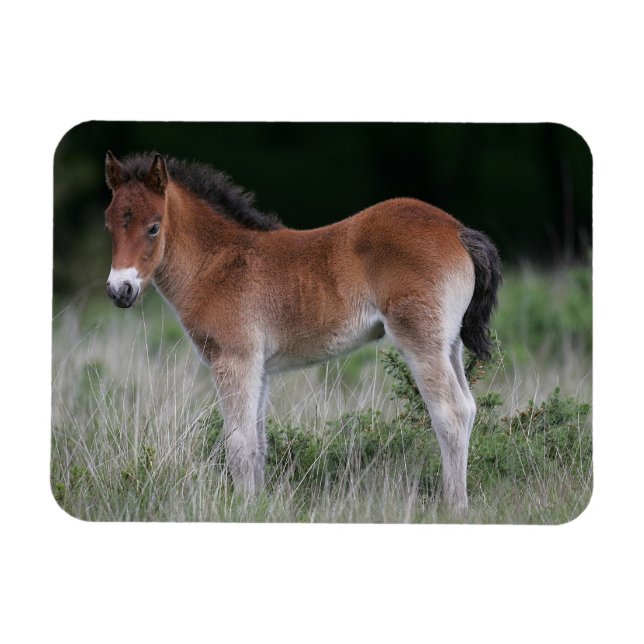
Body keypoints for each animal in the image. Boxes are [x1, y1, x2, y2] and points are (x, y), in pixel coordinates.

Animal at [103, 150, 501, 512]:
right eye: (109, 225)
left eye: (154, 227)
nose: (120, 290)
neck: (217, 262)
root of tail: (457, 230)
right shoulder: (258, 368)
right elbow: (257, 443)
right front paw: (257, 506)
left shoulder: (235, 359)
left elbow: (237, 443)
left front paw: (243, 509)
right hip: (449, 344)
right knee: (467, 408)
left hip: (421, 341)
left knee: (450, 413)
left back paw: (455, 508)